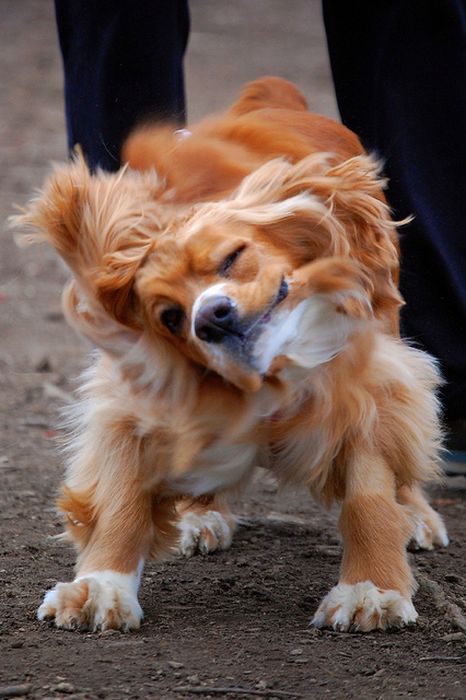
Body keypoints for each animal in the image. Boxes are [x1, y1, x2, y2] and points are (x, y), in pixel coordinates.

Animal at [16, 78, 450, 636]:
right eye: (170, 317)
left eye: (231, 257)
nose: (211, 317)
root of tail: (271, 95)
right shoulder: (140, 393)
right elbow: (121, 497)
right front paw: (101, 585)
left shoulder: (363, 385)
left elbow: (369, 493)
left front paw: (370, 588)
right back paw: (203, 513)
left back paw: (415, 514)